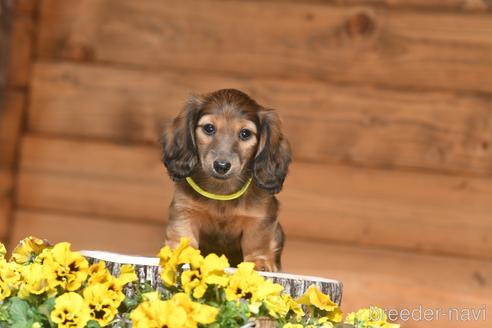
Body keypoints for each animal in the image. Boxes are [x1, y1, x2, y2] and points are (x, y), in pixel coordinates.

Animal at [161, 88, 292, 270]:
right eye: (209, 128)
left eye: (245, 133)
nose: (221, 166)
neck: (221, 191)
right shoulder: (184, 209)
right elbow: (182, 235)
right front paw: (180, 254)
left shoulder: (260, 218)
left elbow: (257, 242)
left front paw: (259, 262)